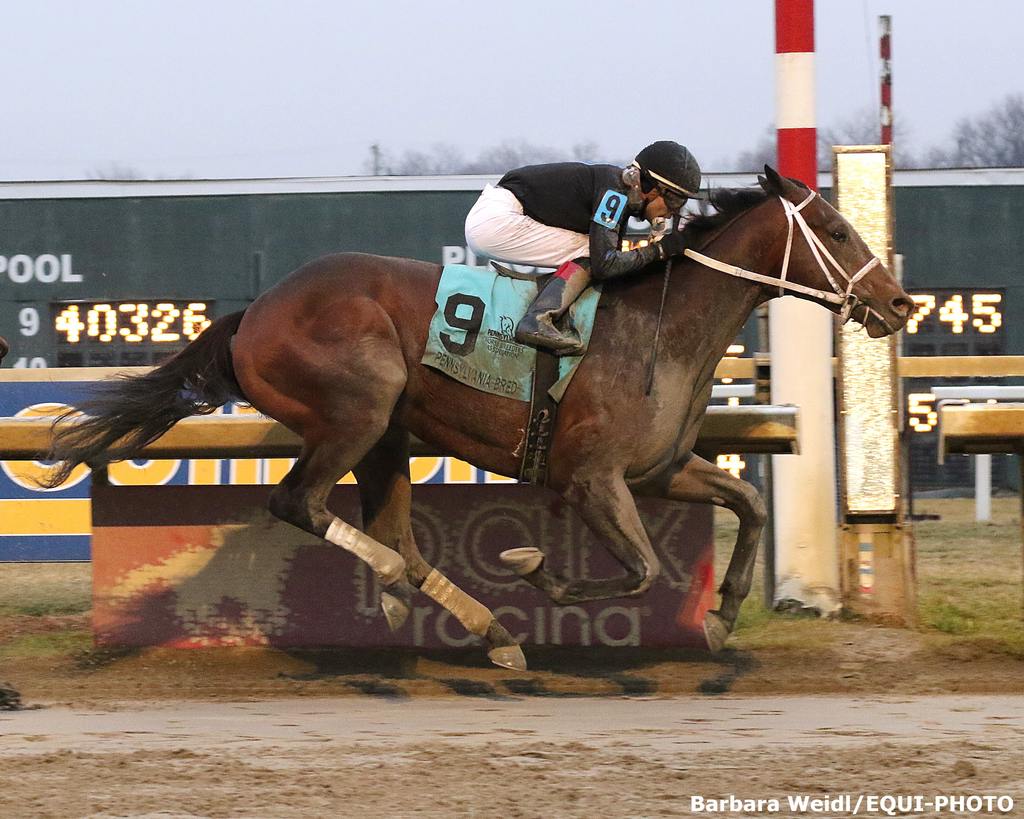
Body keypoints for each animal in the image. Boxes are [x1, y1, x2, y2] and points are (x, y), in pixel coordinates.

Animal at [44, 165, 909, 671]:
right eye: (836, 230)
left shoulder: (658, 470)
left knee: (398, 537)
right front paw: (533, 566)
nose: (899, 303)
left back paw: (484, 629)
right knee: (302, 503)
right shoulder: (593, 479)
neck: (661, 324)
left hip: (389, 434)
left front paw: (725, 614)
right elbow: (638, 569)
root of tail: (253, 312)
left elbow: (753, 502)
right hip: (358, 409)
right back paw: (415, 594)